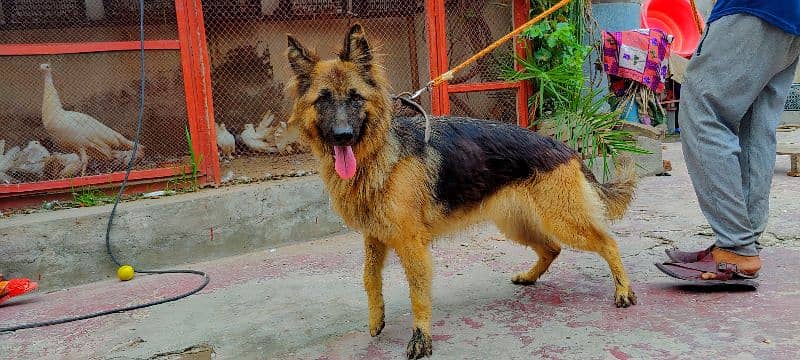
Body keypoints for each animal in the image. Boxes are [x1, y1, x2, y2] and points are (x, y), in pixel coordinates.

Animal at [288, 24, 636, 358]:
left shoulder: (411, 245)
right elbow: (369, 278)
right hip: (517, 225)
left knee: (607, 242)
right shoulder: (374, 237)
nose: (343, 136)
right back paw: (529, 276)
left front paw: (421, 337)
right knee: (552, 248)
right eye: (323, 100)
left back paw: (623, 290)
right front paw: (376, 319)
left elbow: (418, 294)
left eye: (355, 97)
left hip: (563, 220)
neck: (379, 154)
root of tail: (565, 148)